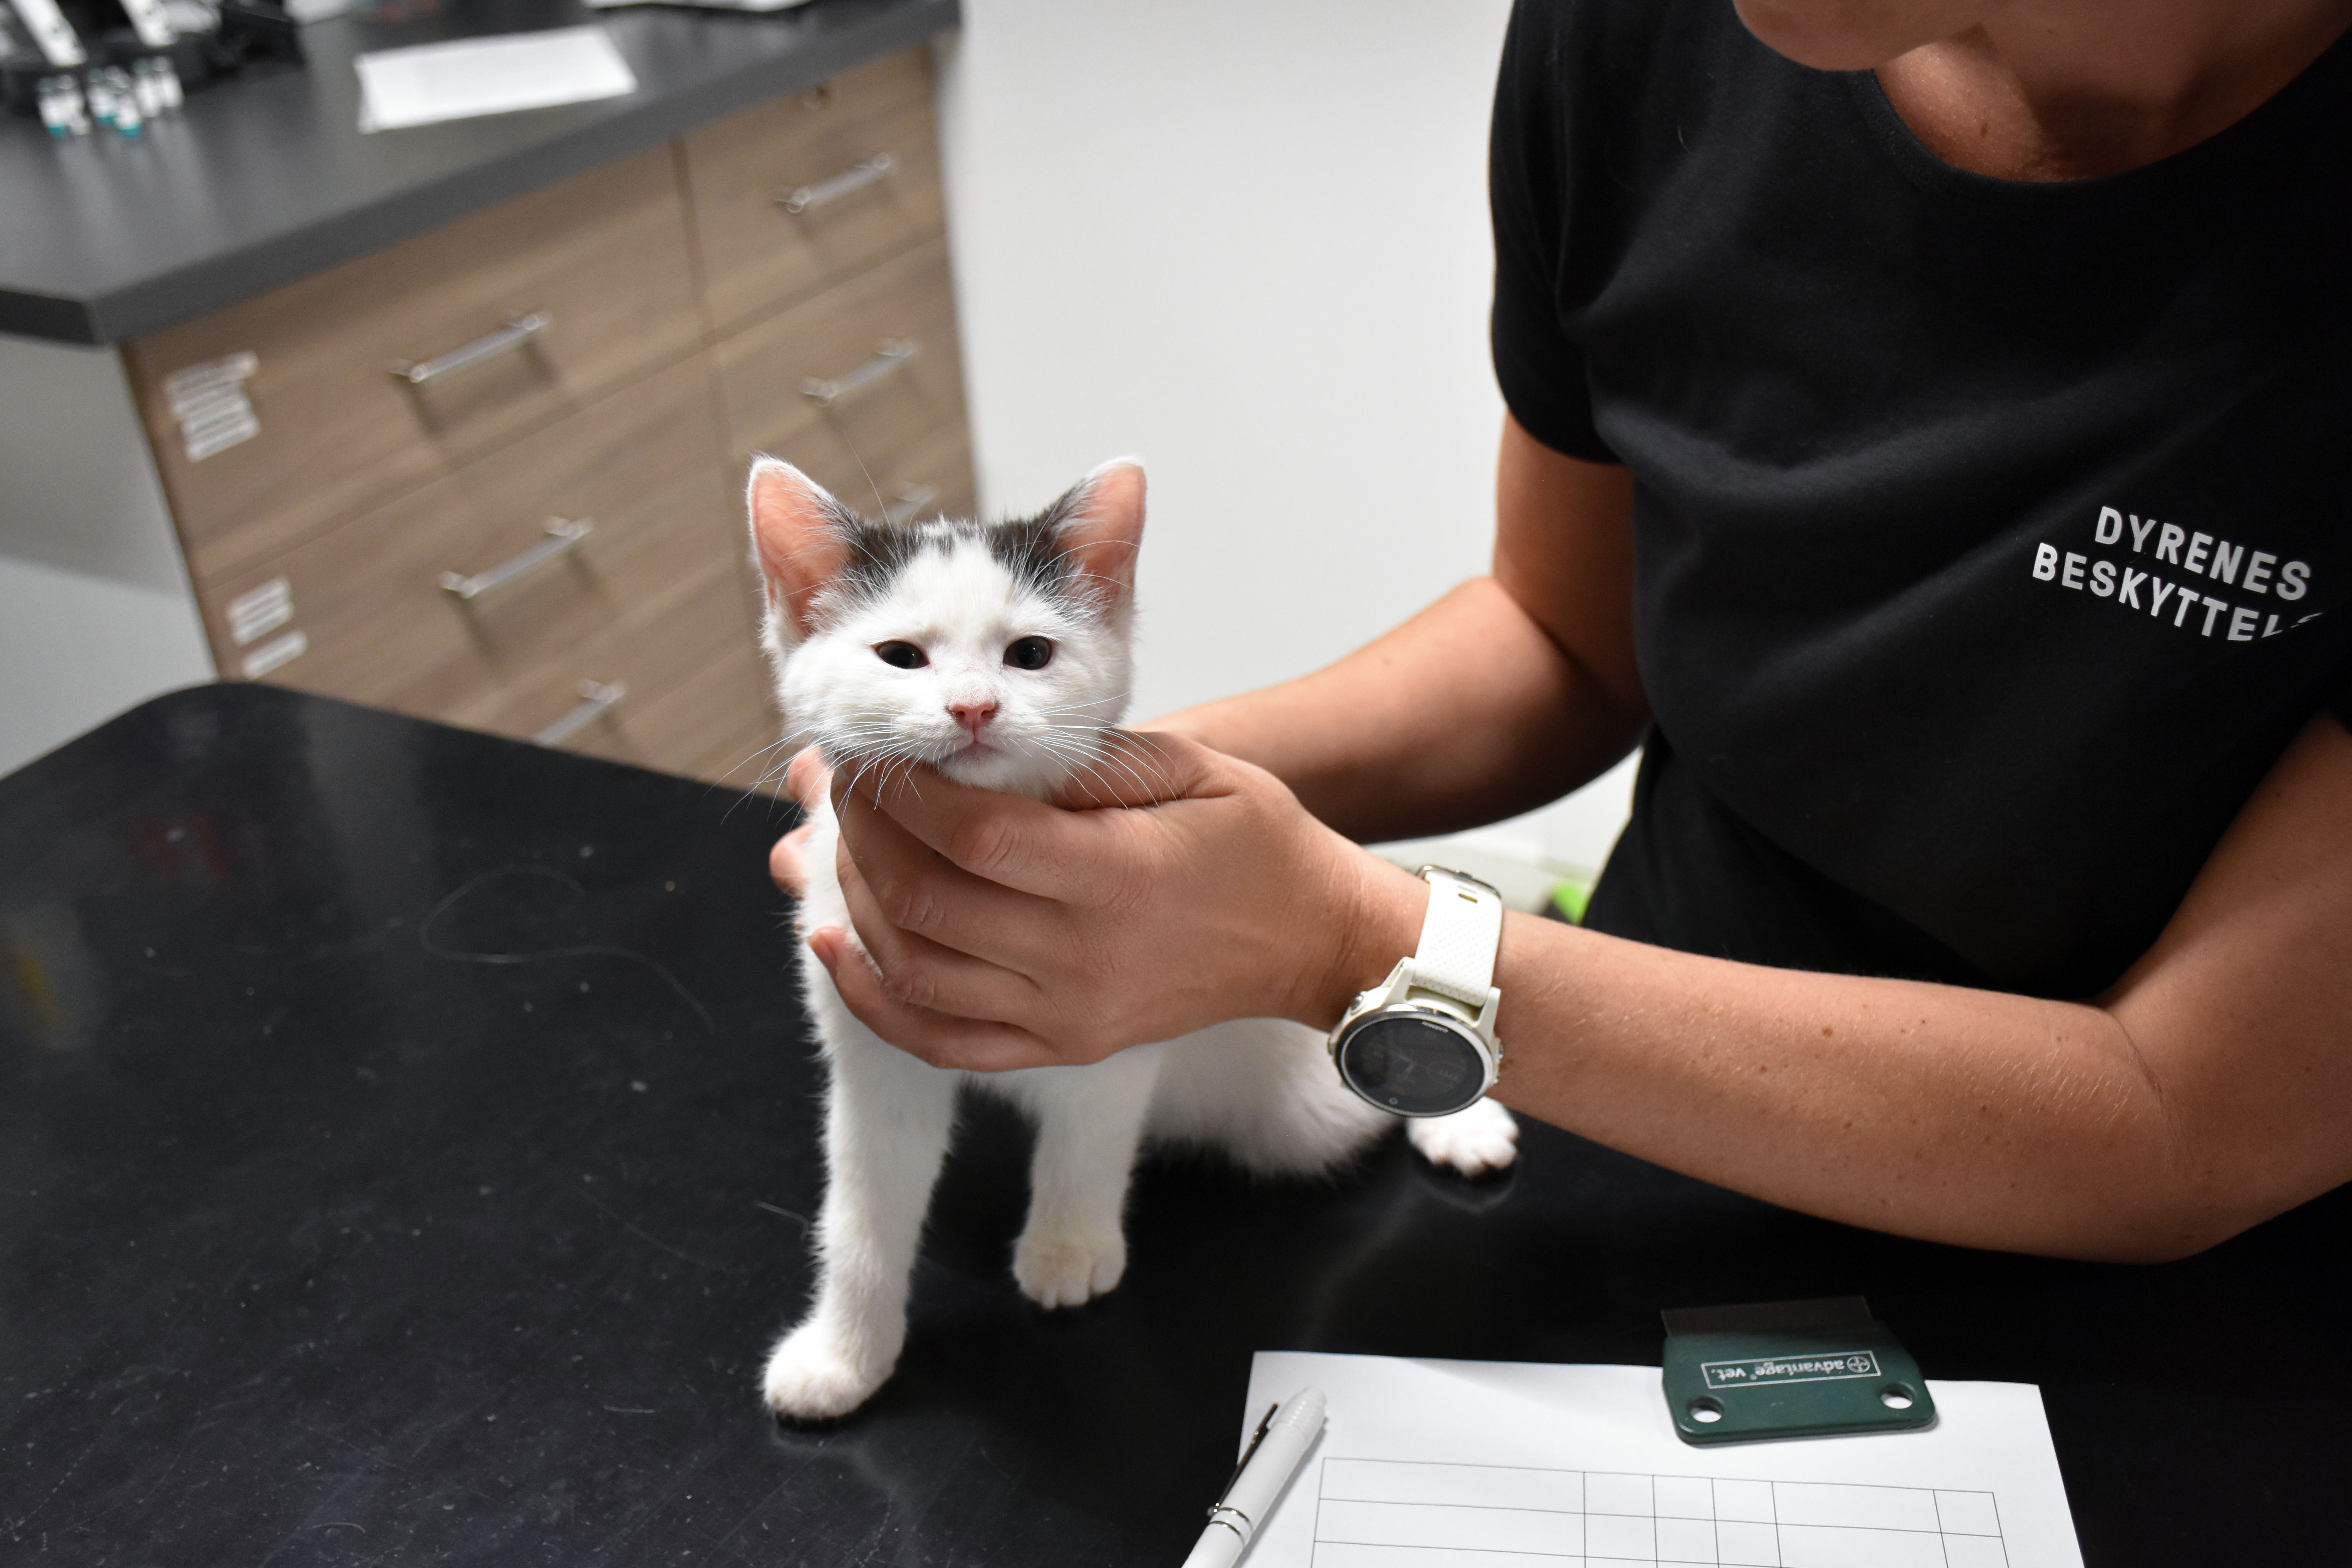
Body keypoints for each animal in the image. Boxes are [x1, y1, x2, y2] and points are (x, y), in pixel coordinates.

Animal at [753, 454, 1524, 1420]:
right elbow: (862, 1205)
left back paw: (1463, 1119)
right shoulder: (871, 1041)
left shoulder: (1118, 1016)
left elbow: (1089, 1135)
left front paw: (1069, 1244)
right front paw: (845, 1353)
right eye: (900, 656)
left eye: (1030, 653)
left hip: (1298, 1107)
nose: (972, 708)